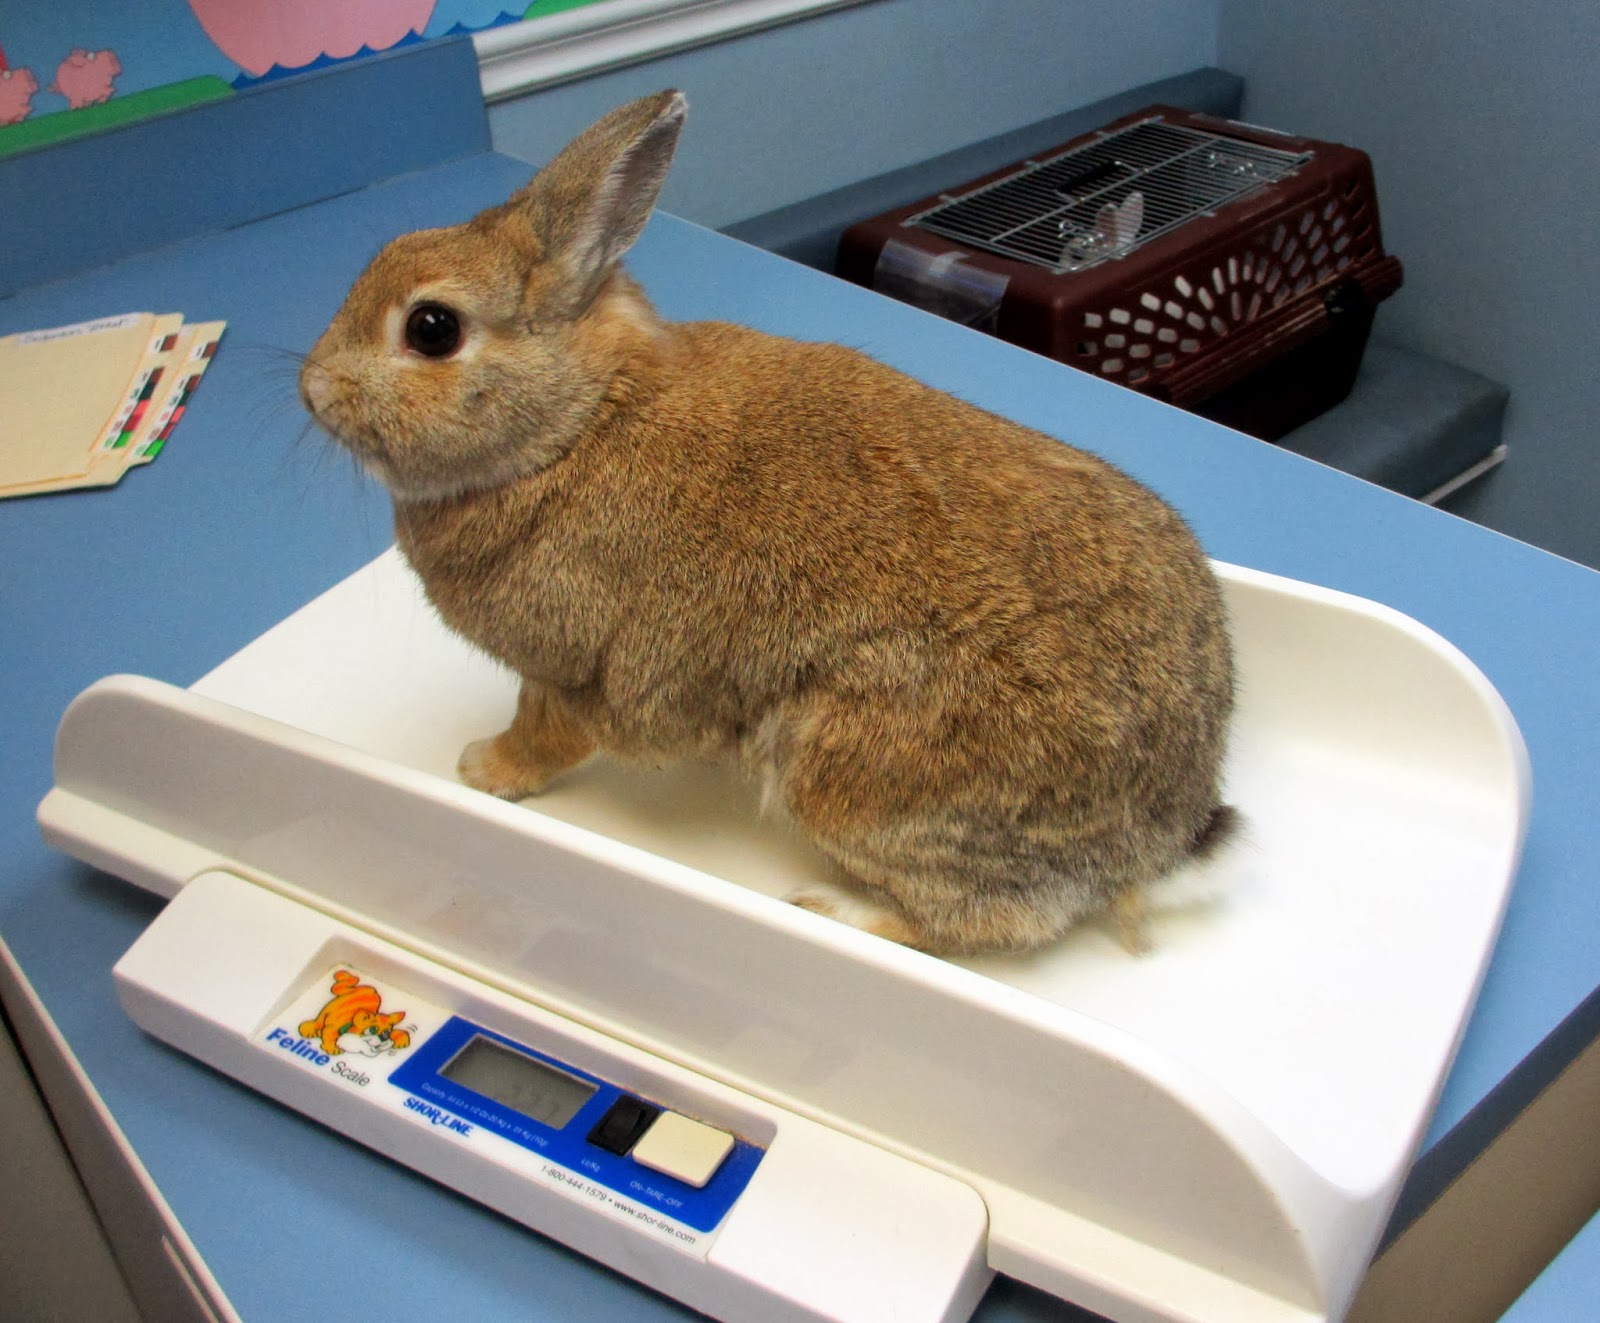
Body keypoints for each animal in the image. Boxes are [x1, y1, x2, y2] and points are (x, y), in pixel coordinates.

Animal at [299, 89, 1236, 957]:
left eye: (432, 328)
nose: (311, 388)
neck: (575, 423)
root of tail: (1160, 836)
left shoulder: (567, 667)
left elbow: (544, 733)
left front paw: (481, 768)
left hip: (857, 774)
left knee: (988, 919)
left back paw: (837, 910)